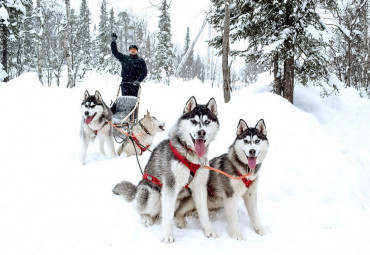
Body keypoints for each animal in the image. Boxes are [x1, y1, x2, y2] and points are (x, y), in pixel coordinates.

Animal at [113, 96, 220, 242]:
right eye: (193, 121)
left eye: (207, 122)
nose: (201, 132)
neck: (189, 155)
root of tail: (137, 189)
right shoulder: (170, 186)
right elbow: (168, 216)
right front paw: (167, 235)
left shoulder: (200, 187)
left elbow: (204, 212)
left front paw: (208, 230)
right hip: (151, 193)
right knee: (141, 208)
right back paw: (147, 218)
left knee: (171, 213)